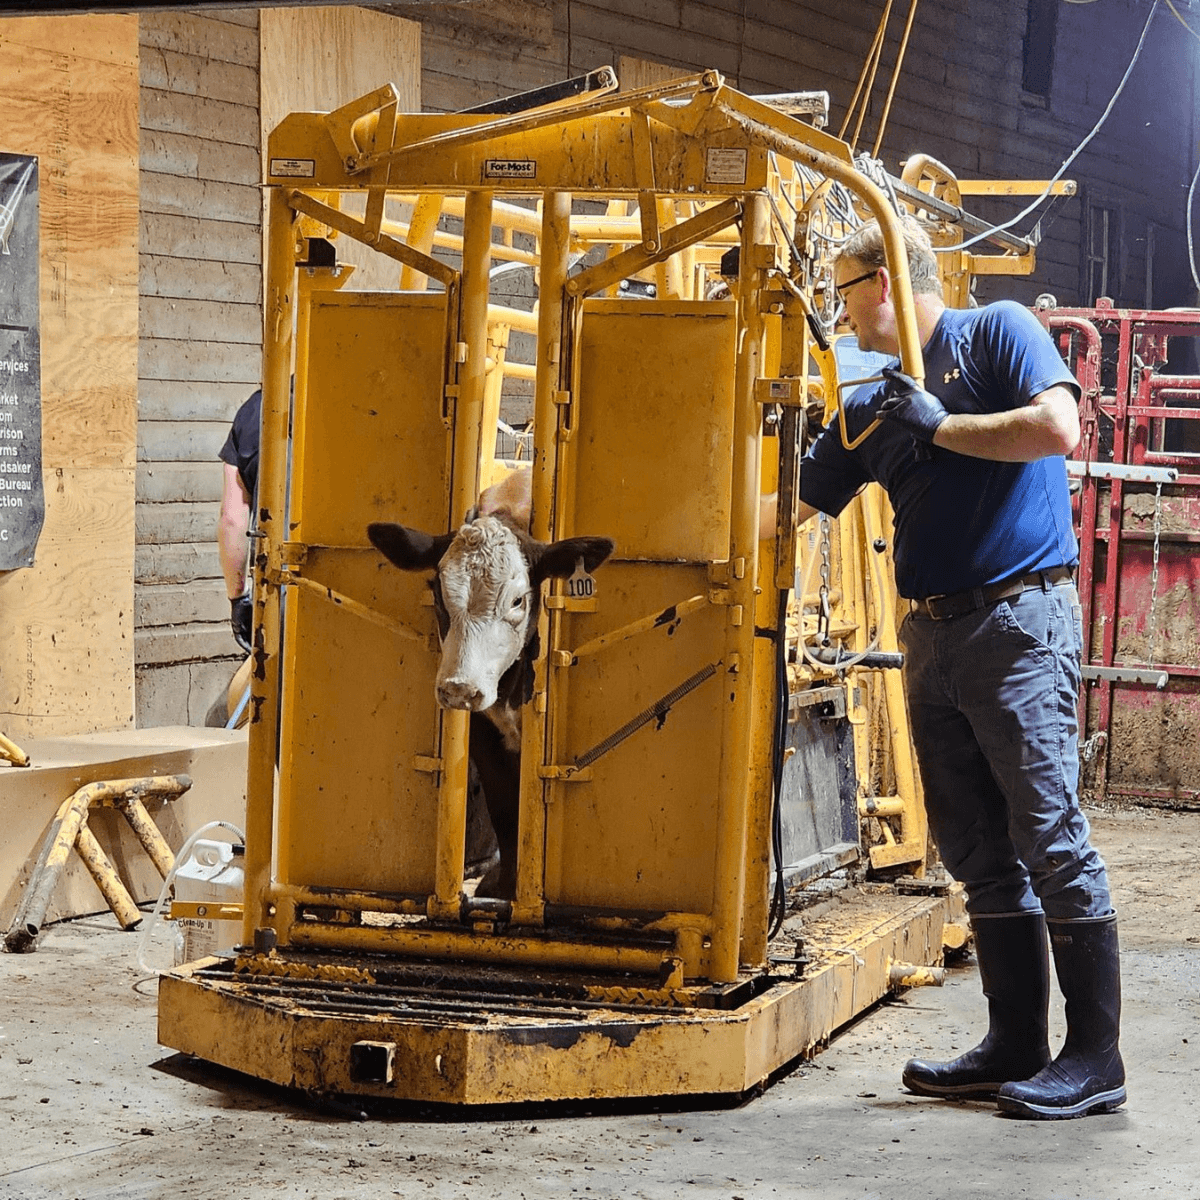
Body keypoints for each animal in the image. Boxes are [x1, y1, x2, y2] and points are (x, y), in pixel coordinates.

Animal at [367, 516, 614, 902]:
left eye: (517, 600)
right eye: (437, 592)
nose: (459, 687)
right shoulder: (484, 734)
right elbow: (506, 813)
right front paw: (506, 888)